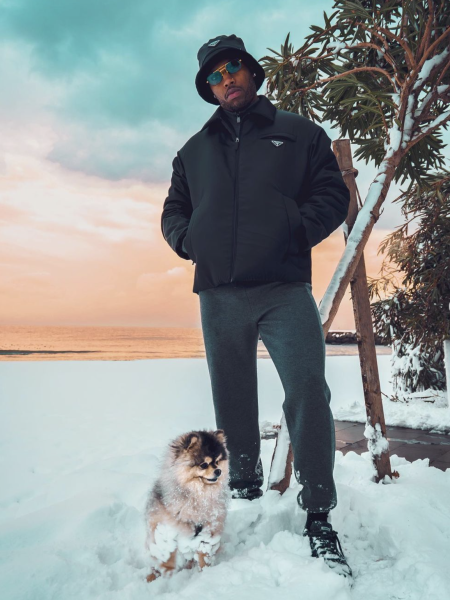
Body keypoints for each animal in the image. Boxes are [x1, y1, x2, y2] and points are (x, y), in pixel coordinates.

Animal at [145, 426, 229, 580]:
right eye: (204, 464)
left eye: (218, 461)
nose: (218, 471)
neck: (198, 495)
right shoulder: (165, 528)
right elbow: (167, 557)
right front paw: (168, 576)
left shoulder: (209, 528)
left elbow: (203, 554)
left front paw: (205, 572)